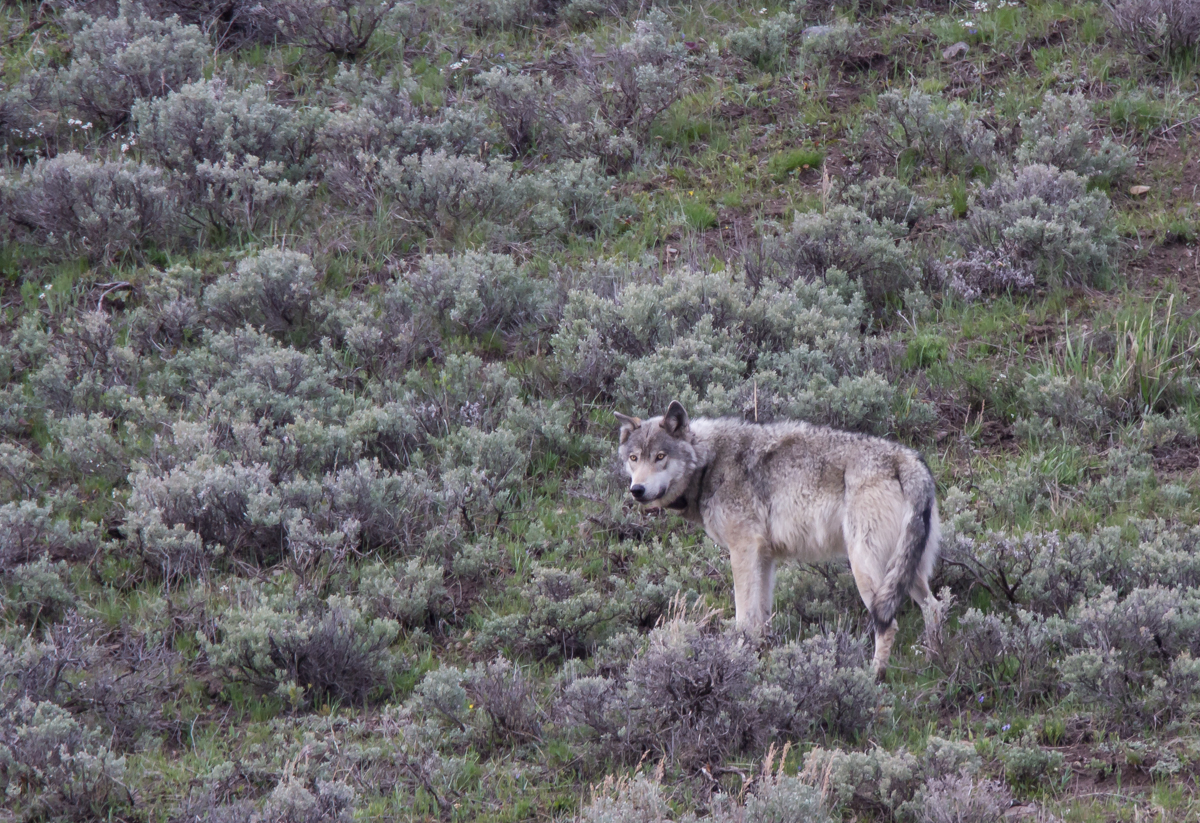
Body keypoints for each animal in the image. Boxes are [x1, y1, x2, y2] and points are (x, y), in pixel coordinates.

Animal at [615, 400, 940, 679]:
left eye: (660, 457)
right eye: (634, 458)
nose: (637, 490)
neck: (709, 464)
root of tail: (910, 461)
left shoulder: (743, 549)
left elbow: (744, 617)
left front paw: (736, 660)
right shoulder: (765, 557)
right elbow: (761, 618)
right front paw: (759, 659)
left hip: (866, 568)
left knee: (889, 623)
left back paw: (873, 678)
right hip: (903, 571)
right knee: (934, 607)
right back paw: (934, 661)